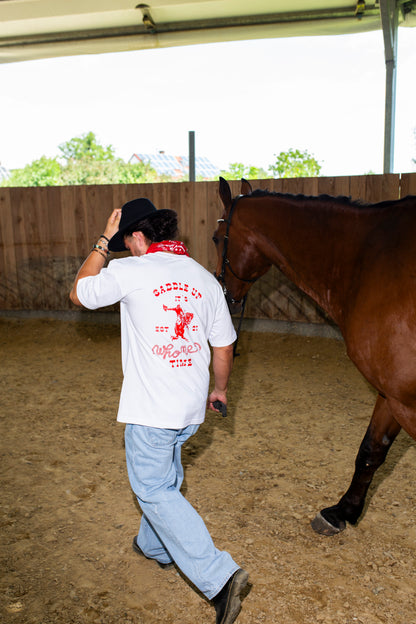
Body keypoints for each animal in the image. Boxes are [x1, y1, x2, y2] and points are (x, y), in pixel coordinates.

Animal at [214, 177, 416, 536]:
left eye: (215, 237)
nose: (222, 293)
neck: (368, 259)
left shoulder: (407, 402)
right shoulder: (391, 393)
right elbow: (371, 449)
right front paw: (342, 511)